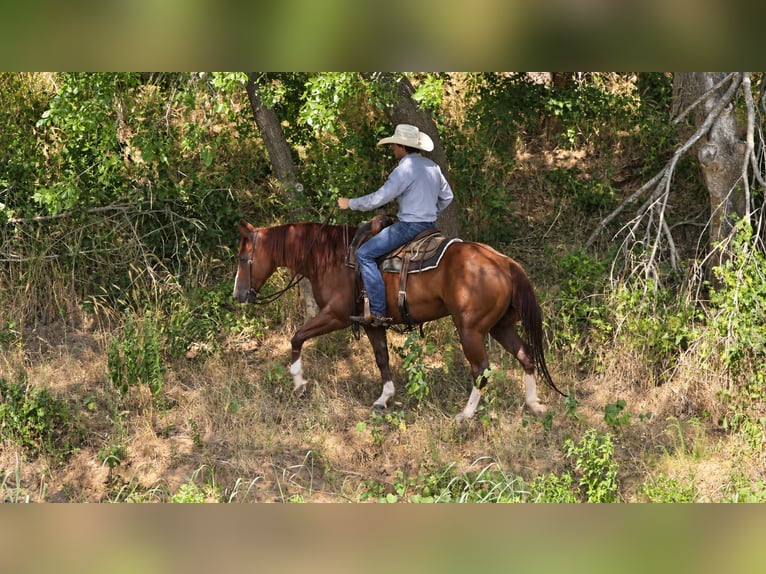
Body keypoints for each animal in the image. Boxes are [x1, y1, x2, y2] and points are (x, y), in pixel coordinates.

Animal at [233, 219, 565, 422]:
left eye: (242, 258)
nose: (238, 295)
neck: (331, 257)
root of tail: (503, 262)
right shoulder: (371, 323)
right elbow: (382, 359)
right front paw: (384, 398)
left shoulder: (335, 315)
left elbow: (298, 337)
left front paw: (299, 382)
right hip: (500, 327)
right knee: (526, 354)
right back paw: (534, 404)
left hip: (470, 329)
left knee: (481, 369)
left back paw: (465, 414)